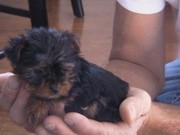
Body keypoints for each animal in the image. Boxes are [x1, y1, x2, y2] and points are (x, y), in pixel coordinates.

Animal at [0, 27, 129, 127]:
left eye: (65, 70)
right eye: (39, 71)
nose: (56, 89)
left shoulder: (72, 92)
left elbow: (49, 97)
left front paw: (34, 109)